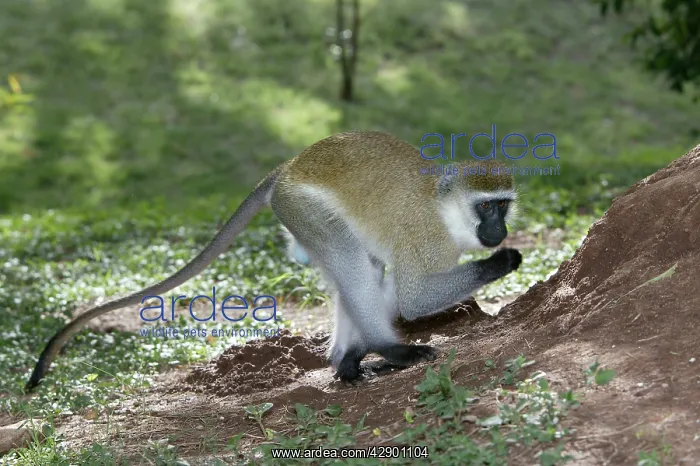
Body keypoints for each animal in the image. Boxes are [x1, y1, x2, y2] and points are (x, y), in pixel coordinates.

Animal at [25, 130, 521, 391]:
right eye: (486, 207)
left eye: (503, 205)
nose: (499, 230)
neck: (445, 209)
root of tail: (287, 169)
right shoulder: (427, 239)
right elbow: (415, 300)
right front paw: (504, 261)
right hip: (303, 209)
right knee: (351, 262)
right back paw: (388, 349)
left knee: (360, 269)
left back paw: (346, 358)